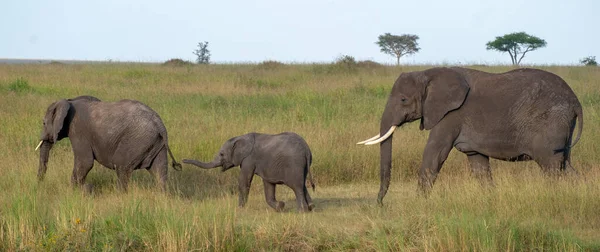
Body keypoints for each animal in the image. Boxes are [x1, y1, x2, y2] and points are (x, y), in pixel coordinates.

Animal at [34, 95, 180, 192]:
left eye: (43, 123)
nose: (39, 184)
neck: (69, 101)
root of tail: (160, 124)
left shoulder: (78, 131)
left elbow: (85, 162)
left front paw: (76, 192)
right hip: (156, 143)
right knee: (159, 171)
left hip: (137, 140)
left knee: (121, 167)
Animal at [182, 132, 314, 213]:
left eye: (222, 154)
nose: (182, 161)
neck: (240, 137)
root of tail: (306, 149)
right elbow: (268, 184)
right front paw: (280, 207)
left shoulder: (248, 159)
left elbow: (244, 181)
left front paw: (240, 208)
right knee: (302, 185)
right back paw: (310, 207)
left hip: (294, 164)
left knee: (297, 186)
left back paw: (301, 211)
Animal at [358, 67, 584, 205]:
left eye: (404, 99)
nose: (379, 203)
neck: (428, 73)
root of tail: (576, 101)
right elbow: (478, 164)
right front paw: (490, 201)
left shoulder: (450, 115)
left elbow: (434, 153)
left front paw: (418, 203)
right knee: (566, 165)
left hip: (551, 123)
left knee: (551, 166)